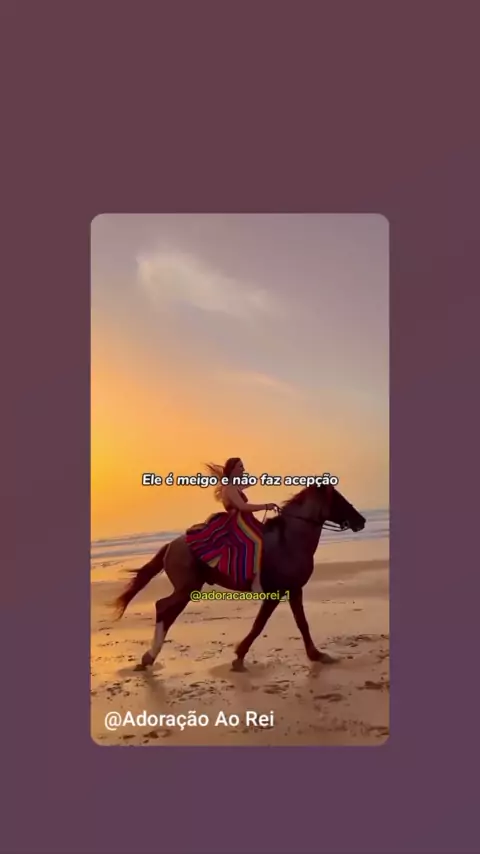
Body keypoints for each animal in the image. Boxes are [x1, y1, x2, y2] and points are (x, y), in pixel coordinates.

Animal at [113, 484, 366, 672]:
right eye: (340, 500)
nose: (361, 521)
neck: (290, 540)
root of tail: (172, 545)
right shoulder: (280, 592)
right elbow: (261, 624)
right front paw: (239, 657)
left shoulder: (294, 590)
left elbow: (301, 623)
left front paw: (316, 655)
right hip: (186, 588)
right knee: (163, 607)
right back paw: (148, 657)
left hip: (188, 588)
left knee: (167, 611)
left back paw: (149, 658)